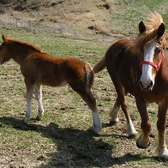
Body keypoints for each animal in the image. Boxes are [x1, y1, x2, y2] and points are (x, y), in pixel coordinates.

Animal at [94, 12, 167, 160]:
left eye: (158, 50)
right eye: (141, 49)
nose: (146, 83)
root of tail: (115, 44)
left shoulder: (165, 101)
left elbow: (161, 125)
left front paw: (163, 151)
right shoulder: (140, 98)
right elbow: (146, 124)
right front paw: (143, 142)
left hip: (125, 83)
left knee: (120, 98)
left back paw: (113, 116)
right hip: (116, 80)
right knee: (124, 102)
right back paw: (131, 130)